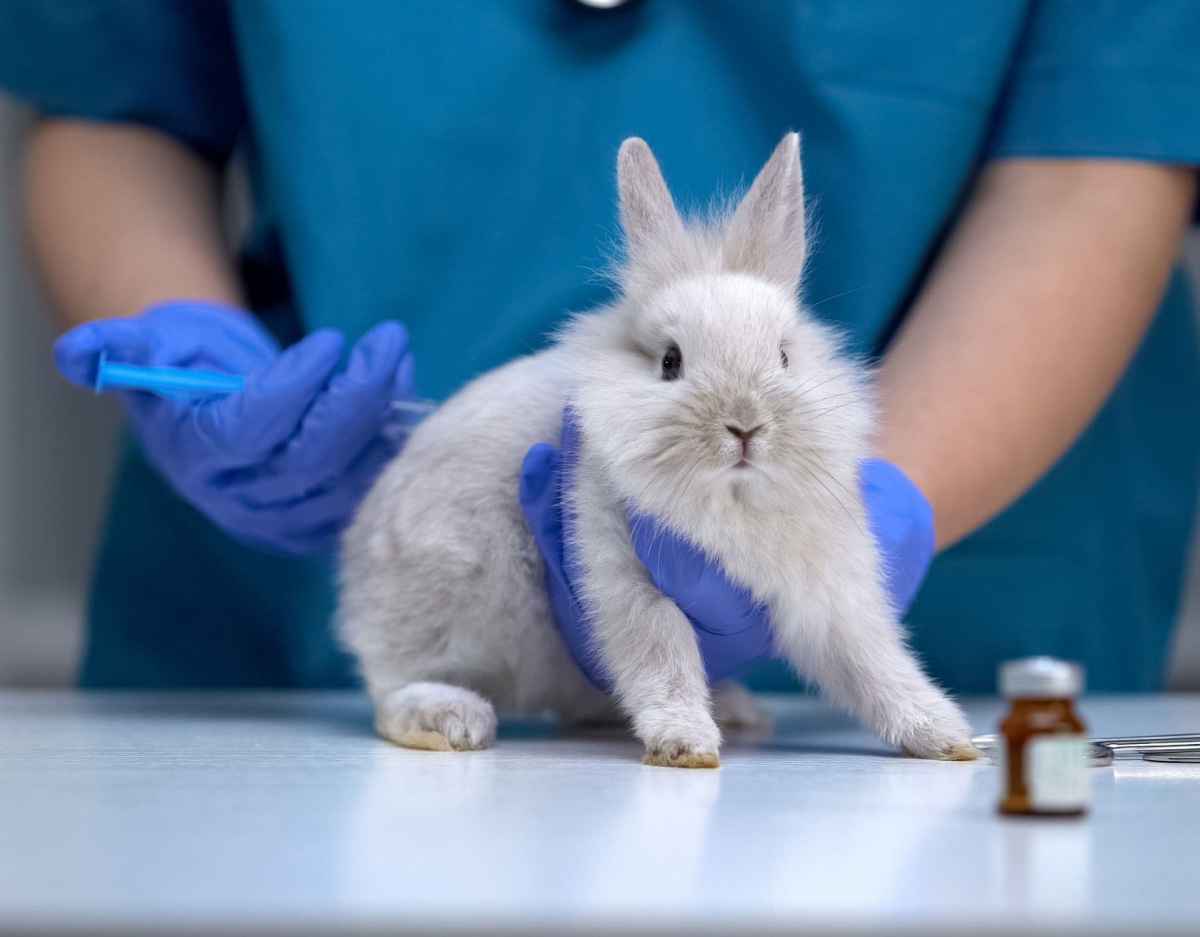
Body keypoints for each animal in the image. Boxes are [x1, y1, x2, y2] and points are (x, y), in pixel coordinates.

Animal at [338, 134, 974, 772]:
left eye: (784, 357)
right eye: (670, 362)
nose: (745, 425)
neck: (732, 501)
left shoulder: (830, 589)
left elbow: (873, 661)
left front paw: (945, 736)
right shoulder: (625, 570)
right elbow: (661, 653)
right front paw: (686, 744)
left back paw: (735, 707)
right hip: (452, 592)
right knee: (392, 690)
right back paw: (452, 718)